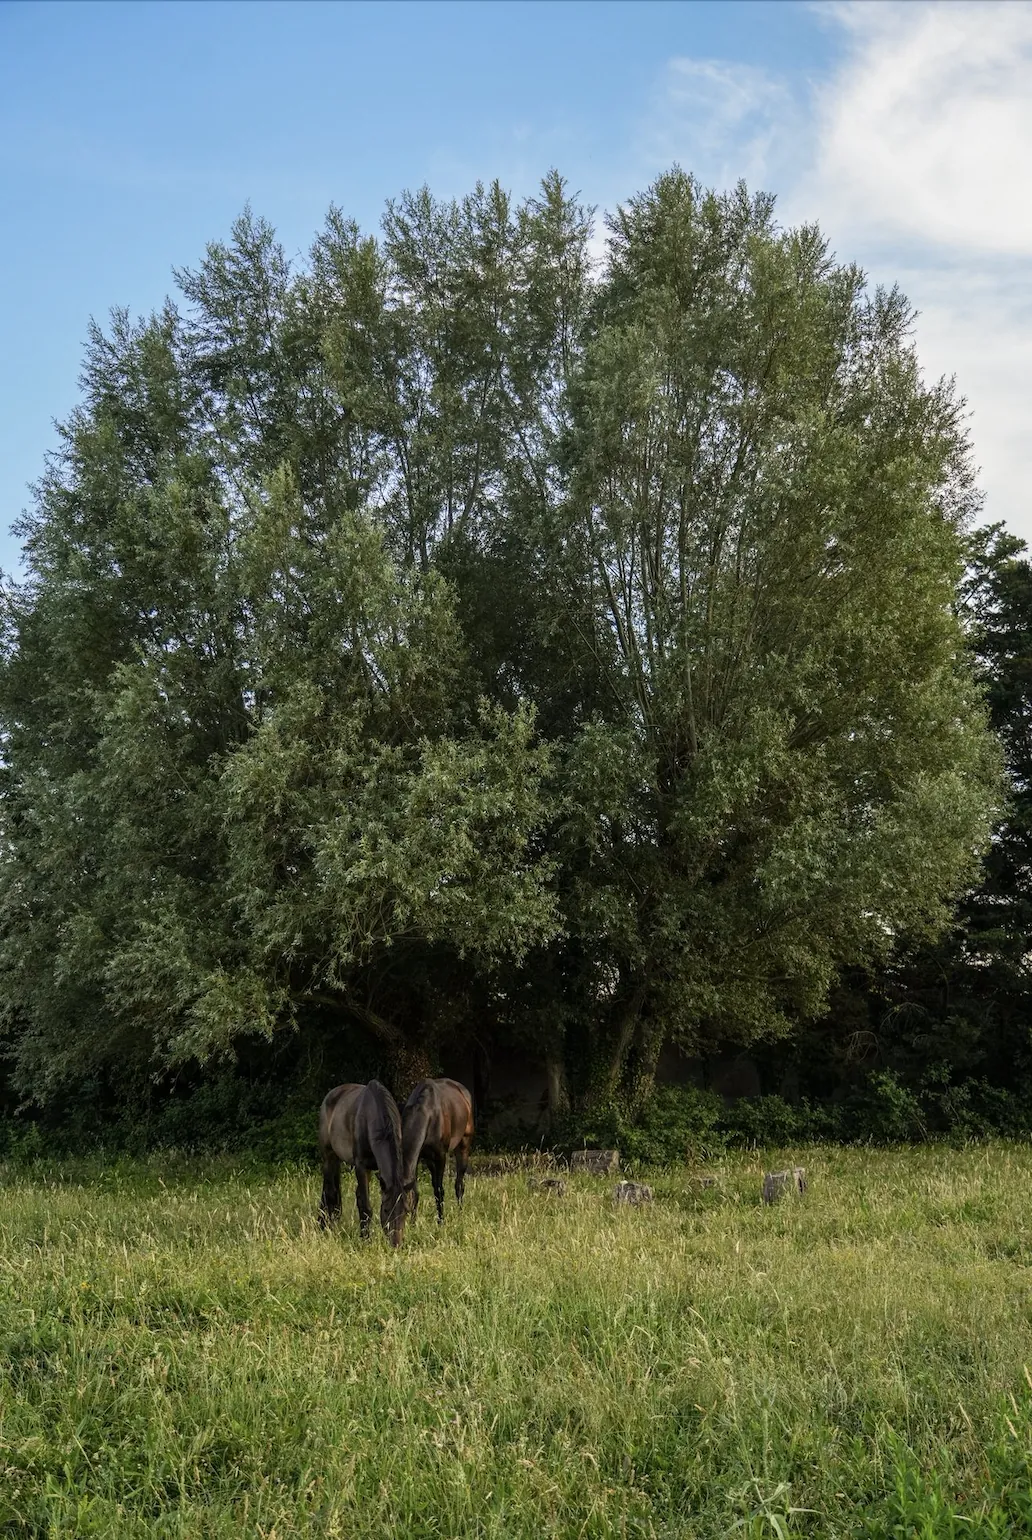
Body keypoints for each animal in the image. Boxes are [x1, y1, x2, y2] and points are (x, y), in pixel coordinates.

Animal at [318, 1080, 410, 1247]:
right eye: (386, 1210)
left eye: (405, 1211)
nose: (396, 1244)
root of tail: (331, 1094)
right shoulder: (361, 1167)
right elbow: (366, 1207)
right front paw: (366, 1241)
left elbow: (361, 1201)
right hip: (329, 1157)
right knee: (330, 1192)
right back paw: (326, 1228)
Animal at [401, 1078, 475, 1224]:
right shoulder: (420, 1157)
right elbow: (416, 1192)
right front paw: (413, 1223)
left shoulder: (441, 1156)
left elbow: (439, 1190)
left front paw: (441, 1222)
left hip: (463, 1145)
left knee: (459, 1184)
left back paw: (460, 1213)